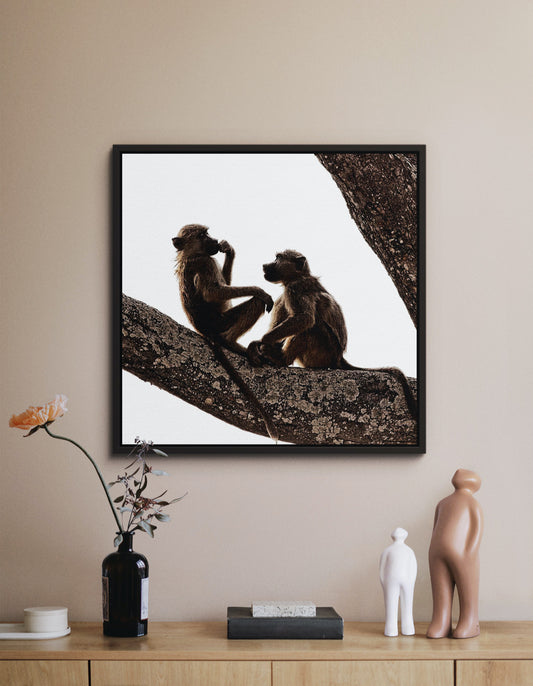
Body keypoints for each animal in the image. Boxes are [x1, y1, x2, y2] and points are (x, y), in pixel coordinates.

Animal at [172, 224, 278, 440]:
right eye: (203, 235)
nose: (214, 240)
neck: (190, 255)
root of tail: (206, 331)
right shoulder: (205, 262)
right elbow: (213, 292)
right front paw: (259, 290)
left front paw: (229, 250)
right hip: (221, 323)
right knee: (257, 302)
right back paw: (231, 342)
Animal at [247, 249, 418, 421]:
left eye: (278, 258)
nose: (265, 265)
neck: (297, 276)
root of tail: (339, 357)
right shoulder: (285, 295)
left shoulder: (296, 289)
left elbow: (304, 319)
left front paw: (263, 341)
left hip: (324, 351)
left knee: (312, 327)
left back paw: (282, 359)